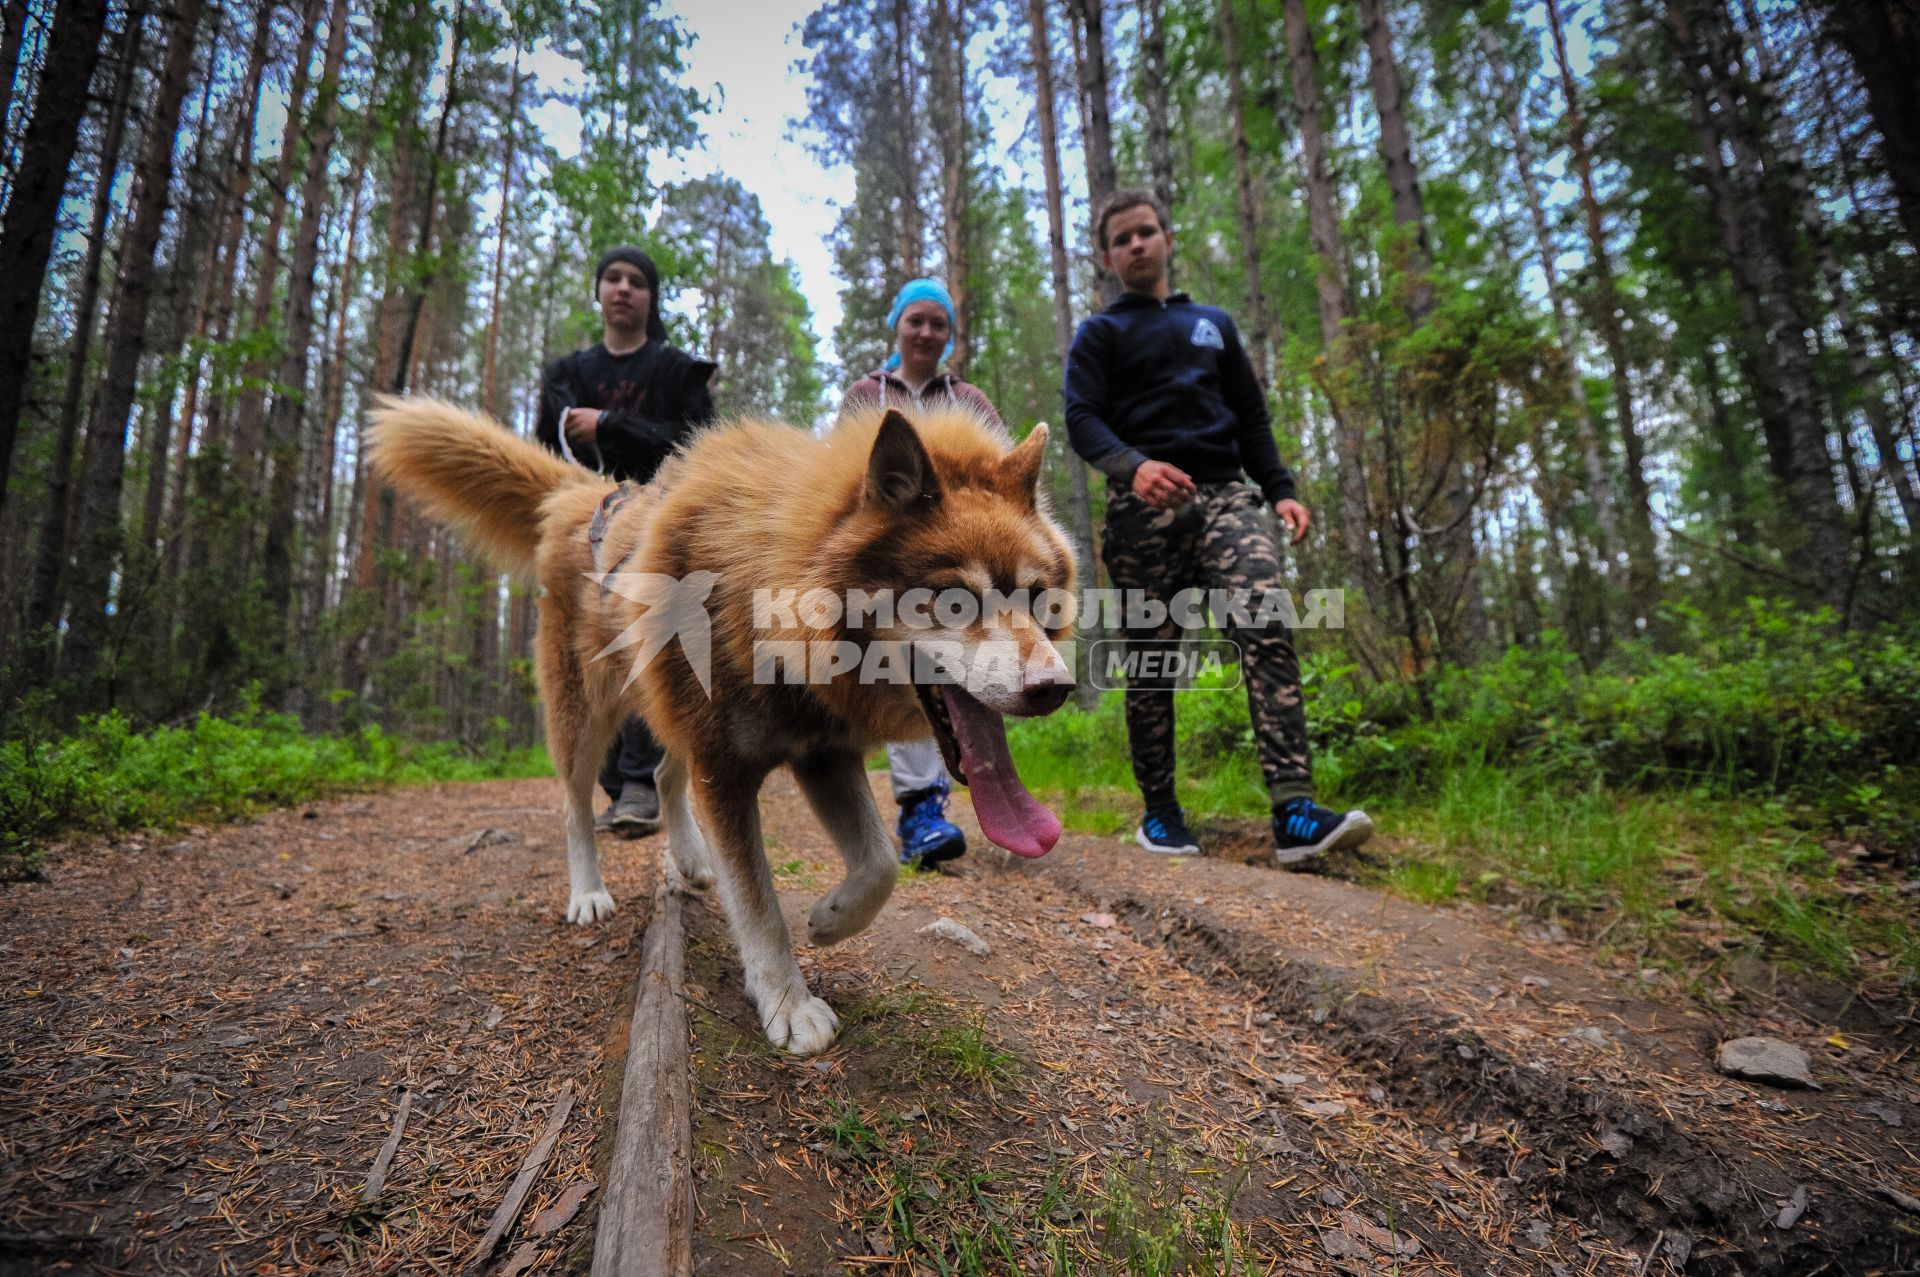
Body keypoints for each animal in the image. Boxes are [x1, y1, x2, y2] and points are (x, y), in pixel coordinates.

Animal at [366, 395, 1075, 1044]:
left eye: (1038, 597)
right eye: (955, 600)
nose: (1056, 688)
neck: (766, 598)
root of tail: (583, 494)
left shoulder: (822, 752)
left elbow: (879, 863)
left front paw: (831, 917)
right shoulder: (727, 769)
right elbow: (756, 899)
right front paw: (789, 1003)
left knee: (663, 774)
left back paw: (689, 857)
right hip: (587, 717)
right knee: (575, 805)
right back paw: (588, 891)